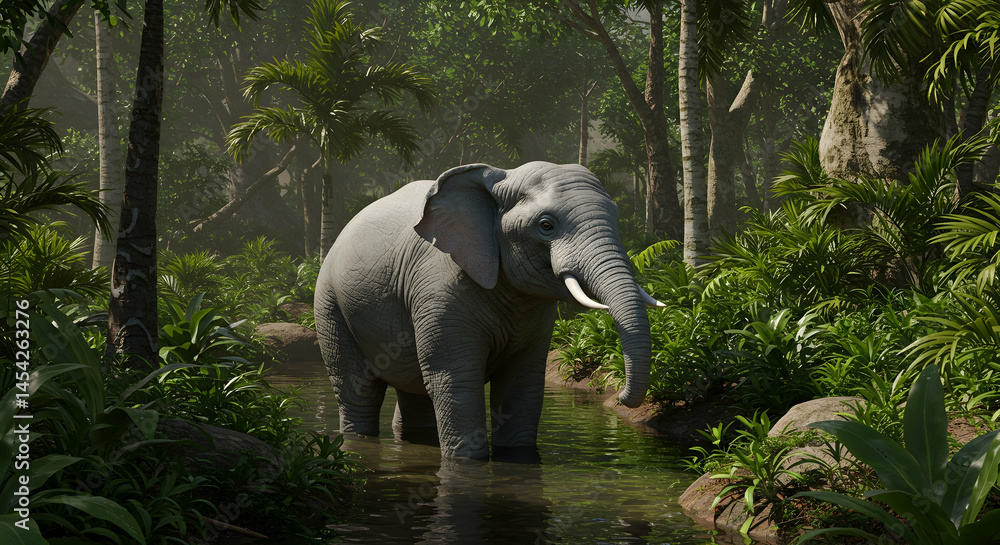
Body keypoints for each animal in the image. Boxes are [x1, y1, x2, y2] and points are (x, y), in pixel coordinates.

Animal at [314, 161, 662, 458]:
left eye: (616, 216)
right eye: (546, 225)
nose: (619, 396)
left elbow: (522, 385)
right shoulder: (439, 291)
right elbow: (455, 380)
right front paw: (466, 463)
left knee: (414, 392)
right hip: (329, 305)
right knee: (358, 390)